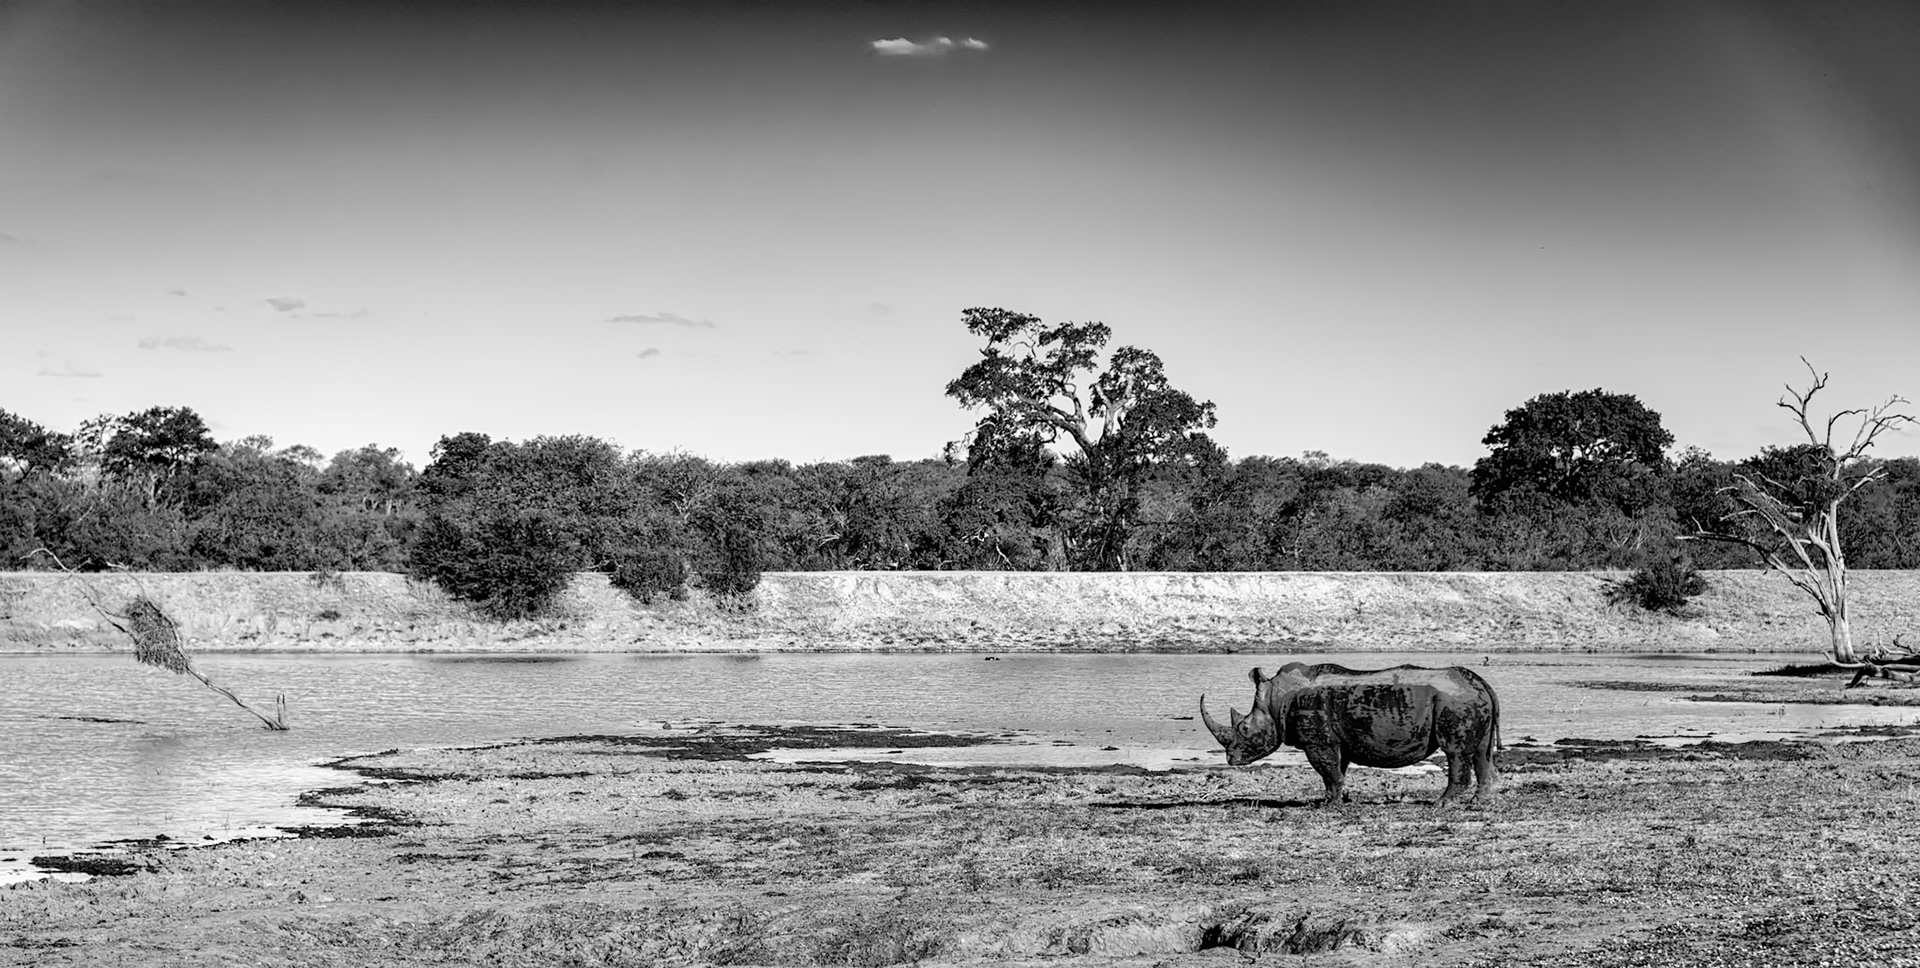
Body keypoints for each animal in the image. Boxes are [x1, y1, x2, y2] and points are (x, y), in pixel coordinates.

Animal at [1201, 662, 1500, 805]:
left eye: (1244, 729)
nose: (1230, 760)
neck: (1276, 700)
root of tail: (1481, 682)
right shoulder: (1333, 738)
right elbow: (1337, 769)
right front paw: (1337, 799)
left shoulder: (1316, 740)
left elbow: (1327, 770)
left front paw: (1328, 805)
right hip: (1467, 698)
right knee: (1481, 752)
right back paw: (1478, 802)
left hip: (1454, 701)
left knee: (1456, 752)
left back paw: (1442, 804)